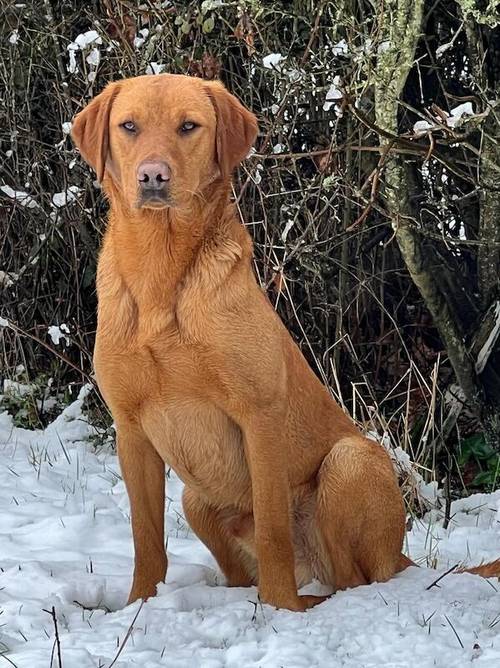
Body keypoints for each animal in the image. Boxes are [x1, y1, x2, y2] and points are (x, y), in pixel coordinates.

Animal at [72, 73, 498, 612]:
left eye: (189, 126)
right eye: (128, 126)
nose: (152, 177)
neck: (160, 271)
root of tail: (401, 557)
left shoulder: (259, 415)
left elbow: (272, 527)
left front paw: (279, 609)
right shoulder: (131, 430)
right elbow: (145, 539)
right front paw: (140, 605)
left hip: (350, 461)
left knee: (353, 581)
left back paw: (309, 602)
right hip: (196, 499)